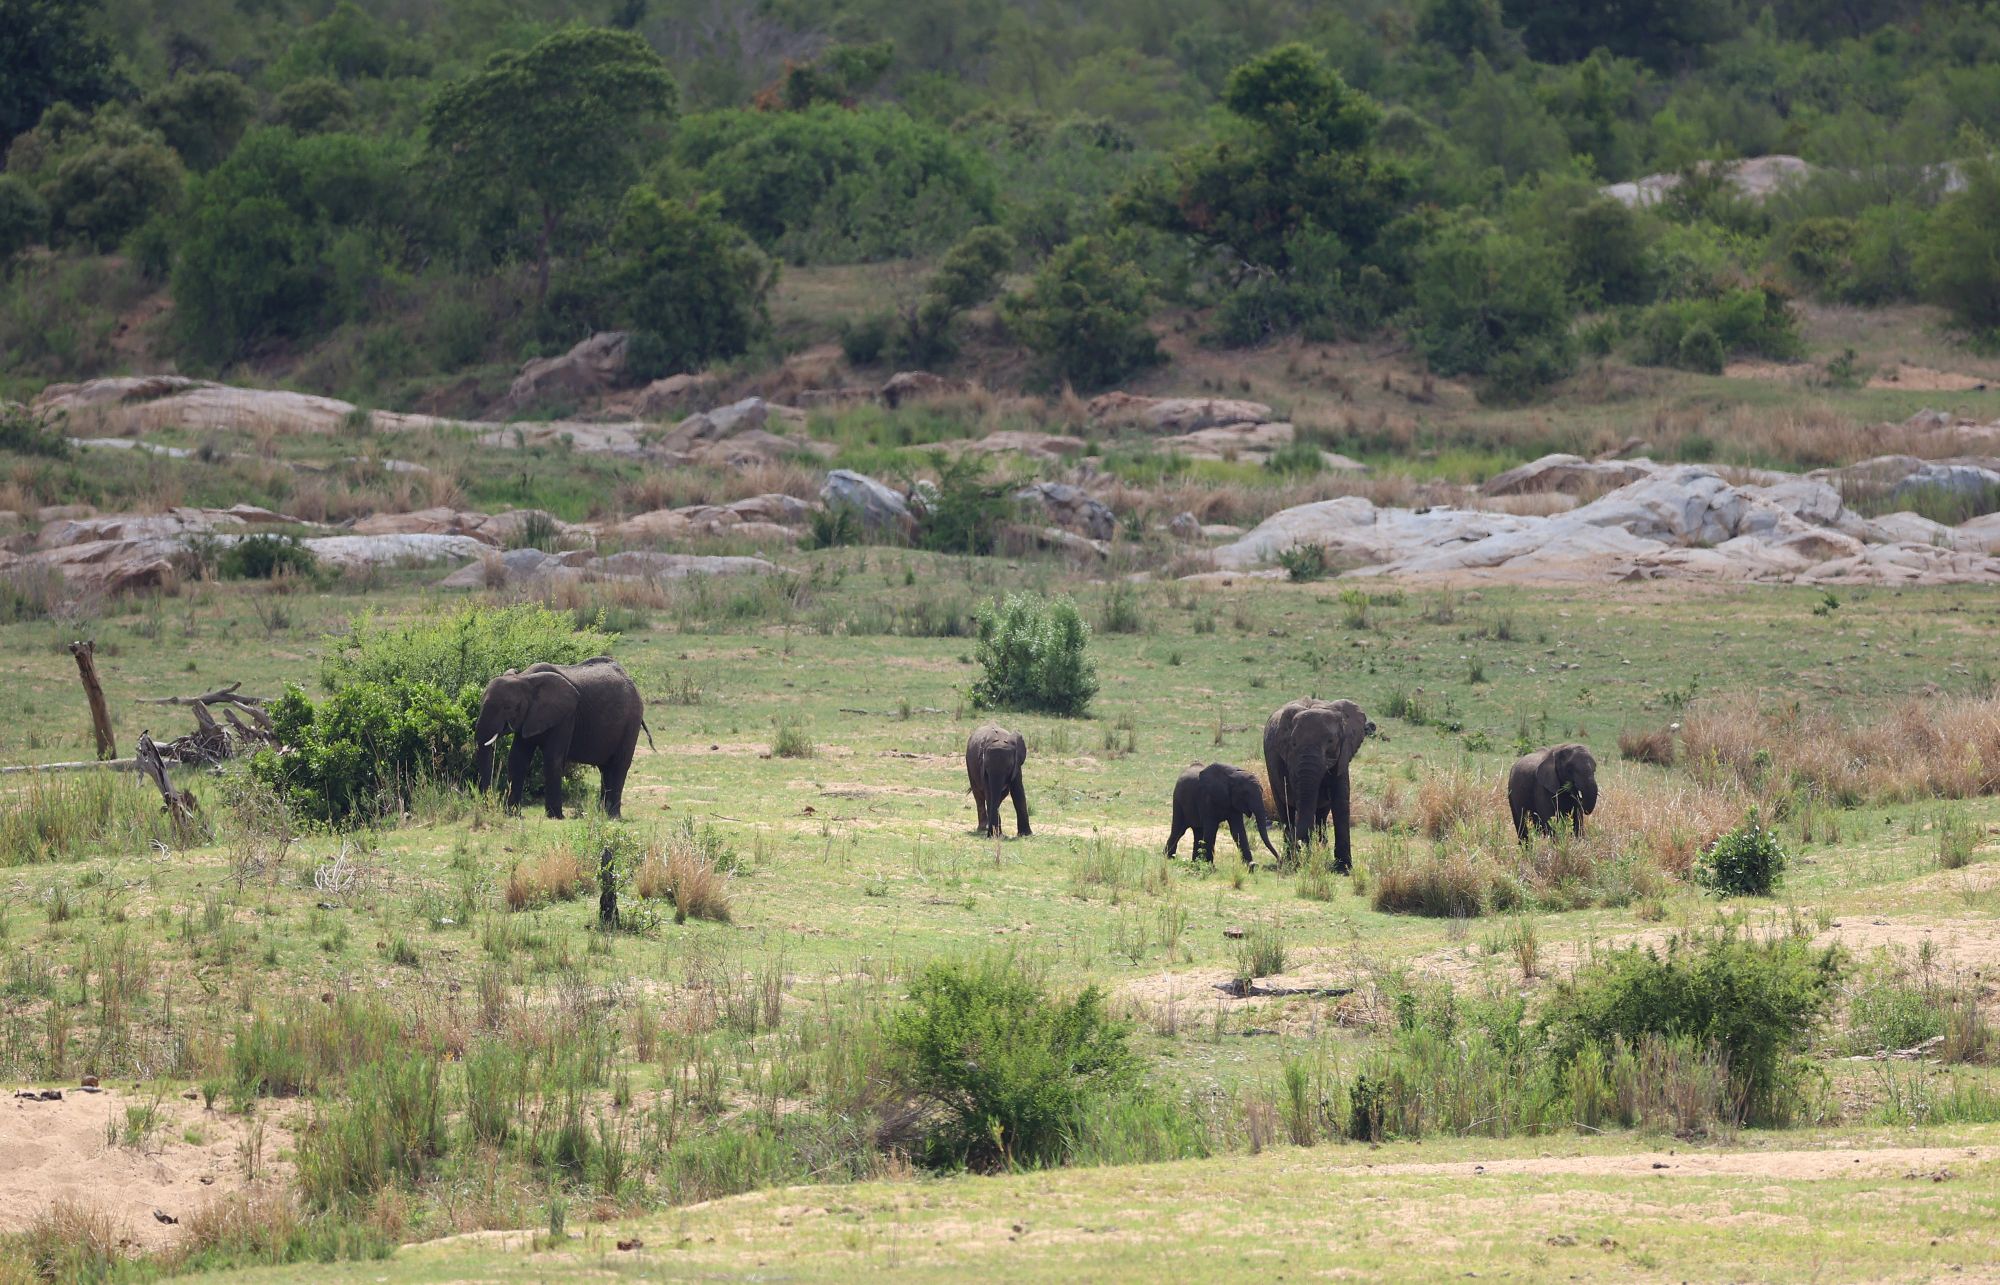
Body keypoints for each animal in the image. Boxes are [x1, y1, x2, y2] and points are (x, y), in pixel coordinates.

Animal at [472, 656, 652, 816]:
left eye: (508, 707)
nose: (487, 809)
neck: (524, 678)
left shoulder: (566, 715)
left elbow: (553, 759)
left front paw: (555, 816)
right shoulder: (530, 717)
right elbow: (517, 759)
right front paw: (512, 814)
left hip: (632, 721)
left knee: (618, 765)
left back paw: (612, 816)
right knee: (606, 769)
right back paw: (603, 814)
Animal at [1264, 700, 1376, 872]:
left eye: (1331, 741)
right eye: (1293, 743)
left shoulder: (1343, 754)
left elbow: (1340, 801)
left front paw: (1343, 869)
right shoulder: (1292, 762)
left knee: (1321, 816)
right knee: (1285, 809)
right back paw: (1293, 860)